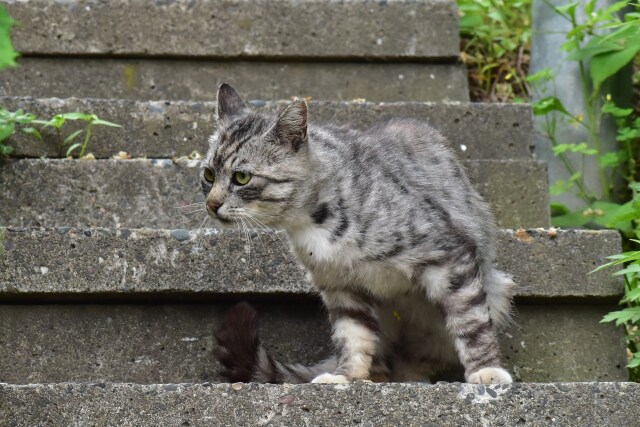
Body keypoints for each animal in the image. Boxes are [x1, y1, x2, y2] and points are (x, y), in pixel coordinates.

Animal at [204, 83, 516, 384]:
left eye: (241, 177)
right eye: (208, 174)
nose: (211, 204)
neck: (311, 224)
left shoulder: (448, 254)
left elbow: (471, 322)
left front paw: (486, 371)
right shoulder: (341, 286)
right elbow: (353, 337)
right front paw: (346, 375)